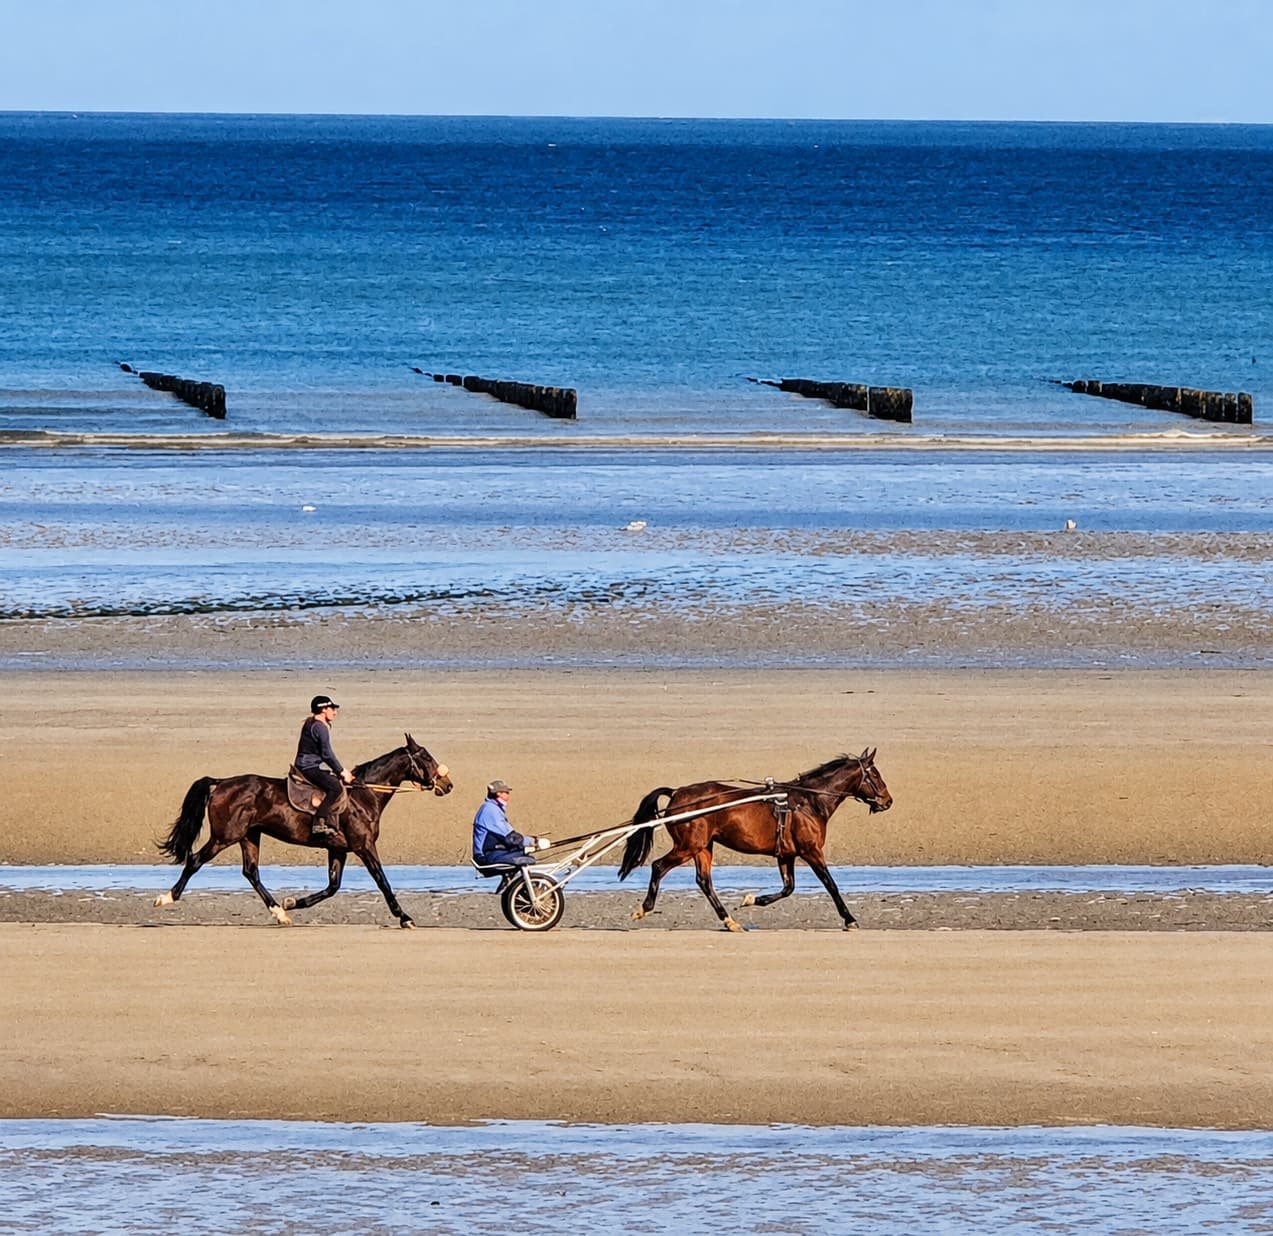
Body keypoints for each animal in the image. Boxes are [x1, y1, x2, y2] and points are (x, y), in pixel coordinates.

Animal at [153, 734, 453, 928]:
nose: (447, 784)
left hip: (249, 837)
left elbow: (332, 887)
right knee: (195, 861)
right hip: (224, 837)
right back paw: (167, 897)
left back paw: (280, 913)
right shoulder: (363, 846)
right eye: (426, 757)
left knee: (251, 872)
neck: (363, 795)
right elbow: (382, 881)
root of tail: (223, 782)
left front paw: (292, 903)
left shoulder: (338, 849)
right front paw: (404, 917)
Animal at [617, 748, 891, 932]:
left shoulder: (785, 854)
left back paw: (730, 921)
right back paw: (644, 908)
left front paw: (753, 899)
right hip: (688, 846)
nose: (887, 801)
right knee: (659, 866)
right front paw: (850, 919)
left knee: (704, 881)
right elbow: (830, 885)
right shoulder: (811, 851)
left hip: (703, 847)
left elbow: (788, 888)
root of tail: (677, 793)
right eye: (875, 775)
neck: (808, 802)